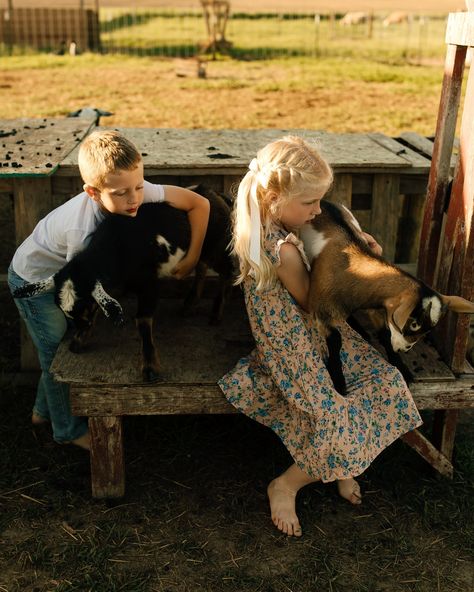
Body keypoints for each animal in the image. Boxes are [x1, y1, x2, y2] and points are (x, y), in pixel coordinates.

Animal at [15, 183, 234, 382]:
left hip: (217, 246)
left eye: (85, 306)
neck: (116, 247)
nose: (80, 327)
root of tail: (214, 193)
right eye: (64, 311)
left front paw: (150, 367)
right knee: (202, 267)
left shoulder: (148, 282)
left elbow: (143, 320)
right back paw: (189, 304)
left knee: (226, 272)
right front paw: (79, 341)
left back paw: (216, 313)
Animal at [300, 201, 474, 396]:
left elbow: (384, 333)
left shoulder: (378, 307)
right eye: (413, 324)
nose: (406, 348)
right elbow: (336, 339)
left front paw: (401, 367)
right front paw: (339, 383)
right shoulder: (320, 310)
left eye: (428, 329)